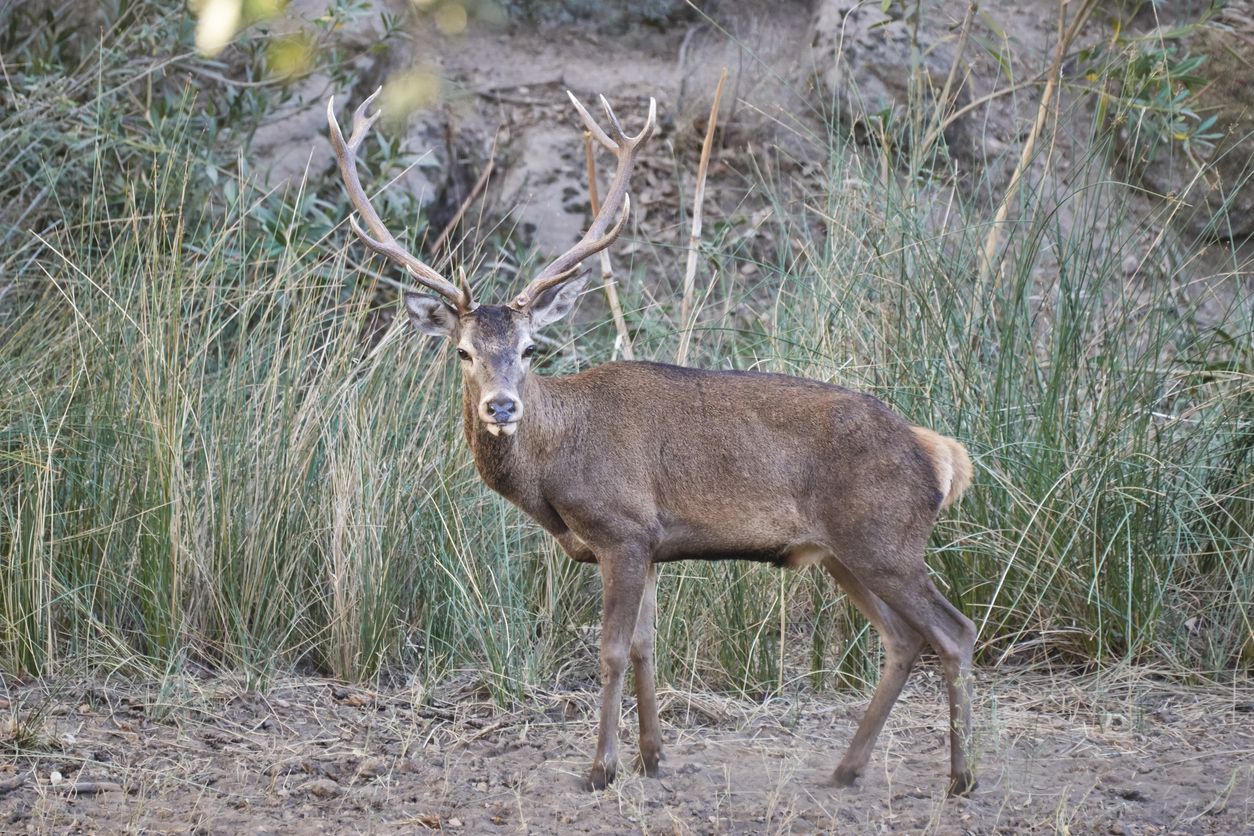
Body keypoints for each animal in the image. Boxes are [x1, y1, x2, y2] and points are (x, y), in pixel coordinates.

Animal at [327, 88, 979, 796]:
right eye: (464, 351)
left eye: (530, 348)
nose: (501, 406)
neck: (557, 470)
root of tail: (939, 453)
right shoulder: (651, 545)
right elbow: (645, 645)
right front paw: (651, 756)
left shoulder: (623, 528)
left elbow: (611, 650)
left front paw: (601, 767)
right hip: (842, 552)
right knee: (902, 639)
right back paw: (847, 767)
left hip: (885, 537)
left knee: (954, 631)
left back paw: (961, 777)